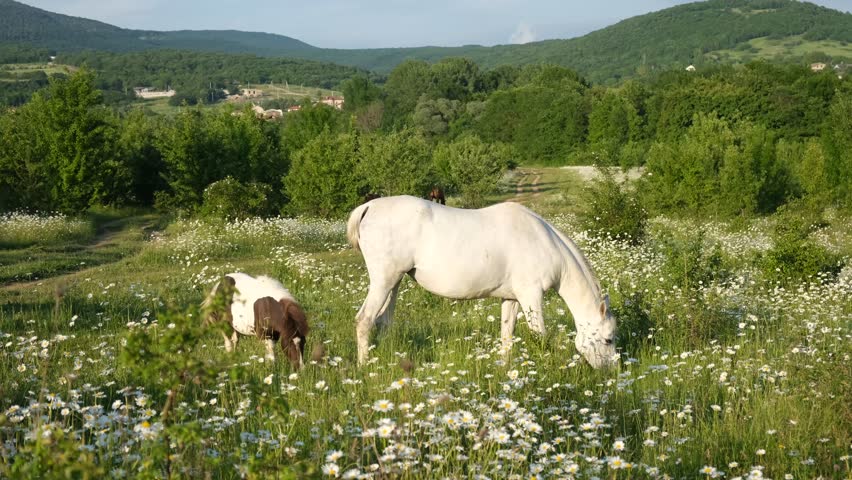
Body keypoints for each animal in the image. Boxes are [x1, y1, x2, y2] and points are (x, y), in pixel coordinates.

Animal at [346, 195, 617, 368]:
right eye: (608, 339)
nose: (610, 372)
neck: (545, 242)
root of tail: (368, 207)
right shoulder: (531, 296)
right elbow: (540, 335)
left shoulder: (511, 299)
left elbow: (506, 337)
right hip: (384, 281)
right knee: (364, 320)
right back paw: (364, 368)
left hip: (394, 283)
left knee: (383, 321)